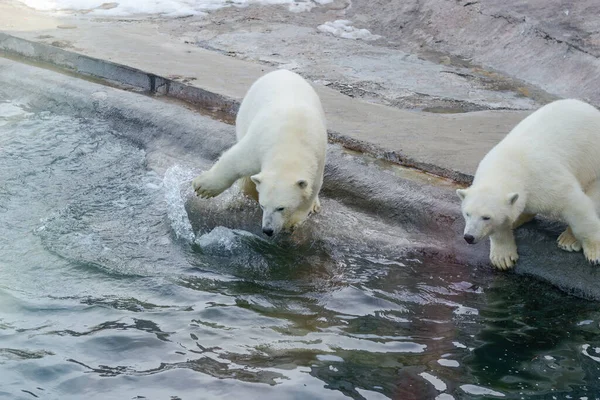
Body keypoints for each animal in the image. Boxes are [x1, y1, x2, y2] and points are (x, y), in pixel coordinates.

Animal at [192, 69, 326, 238]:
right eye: (263, 206)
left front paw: (293, 222)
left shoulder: (317, 159)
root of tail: (283, 70)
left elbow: (311, 191)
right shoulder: (261, 141)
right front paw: (203, 188)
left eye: (281, 208)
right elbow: (235, 161)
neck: (290, 145)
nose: (267, 230)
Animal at [454, 98, 600, 270]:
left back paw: (569, 239)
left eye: (486, 217)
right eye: (467, 214)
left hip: (592, 162)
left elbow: (575, 205)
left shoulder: (545, 181)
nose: (469, 237)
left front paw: (594, 252)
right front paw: (503, 258)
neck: (509, 166)